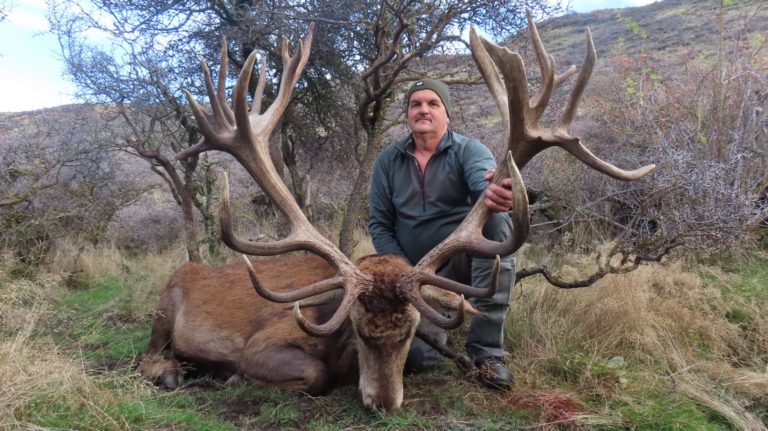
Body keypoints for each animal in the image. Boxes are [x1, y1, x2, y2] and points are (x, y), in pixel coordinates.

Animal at [139, 12, 654, 412]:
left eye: (410, 334)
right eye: (359, 330)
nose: (385, 404)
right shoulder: (262, 343)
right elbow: (311, 374)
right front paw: (232, 376)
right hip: (164, 308)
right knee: (147, 354)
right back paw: (171, 371)